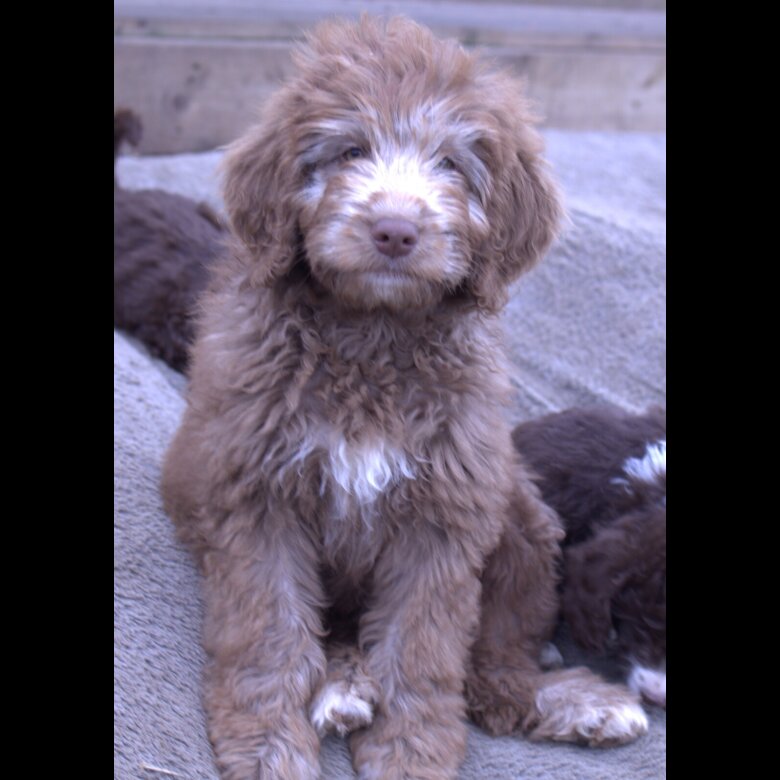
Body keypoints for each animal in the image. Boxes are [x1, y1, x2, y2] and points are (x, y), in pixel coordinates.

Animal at [161, 17, 647, 779]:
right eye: (350, 150)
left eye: (451, 165)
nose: (395, 230)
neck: (373, 335)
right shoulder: (255, 495)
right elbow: (269, 632)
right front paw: (268, 742)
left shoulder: (447, 508)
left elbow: (423, 647)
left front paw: (409, 753)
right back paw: (344, 686)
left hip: (518, 515)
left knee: (495, 669)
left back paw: (569, 703)